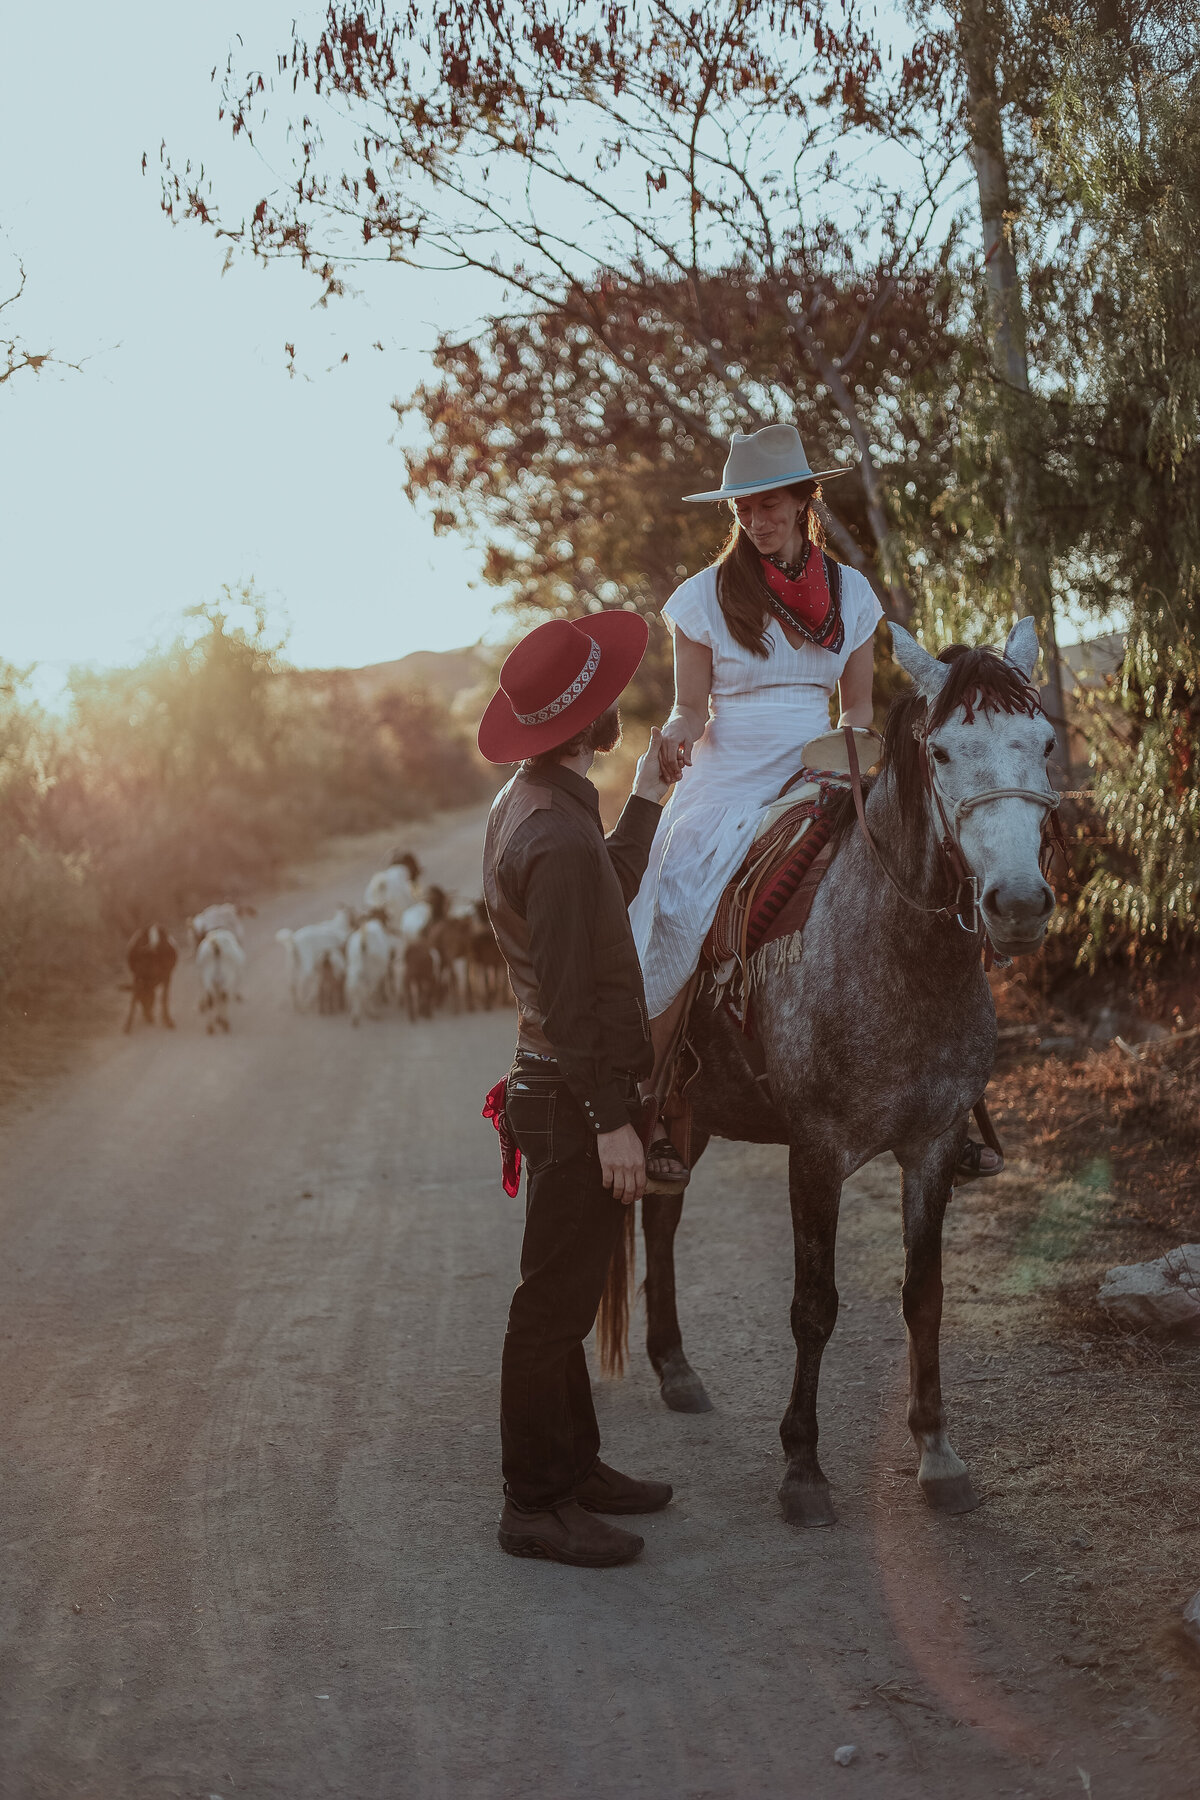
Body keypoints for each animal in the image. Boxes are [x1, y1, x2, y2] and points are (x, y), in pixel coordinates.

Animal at [636, 622, 1057, 1533]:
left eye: (1043, 744)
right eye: (942, 751)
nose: (1017, 904)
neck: (896, 953)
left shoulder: (932, 1149)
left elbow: (923, 1296)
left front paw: (938, 1453)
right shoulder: (817, 1154)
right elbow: (814, 1305)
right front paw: (802, 1468)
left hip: (688, 1116)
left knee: (659, 1216)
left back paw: (674, 1367)